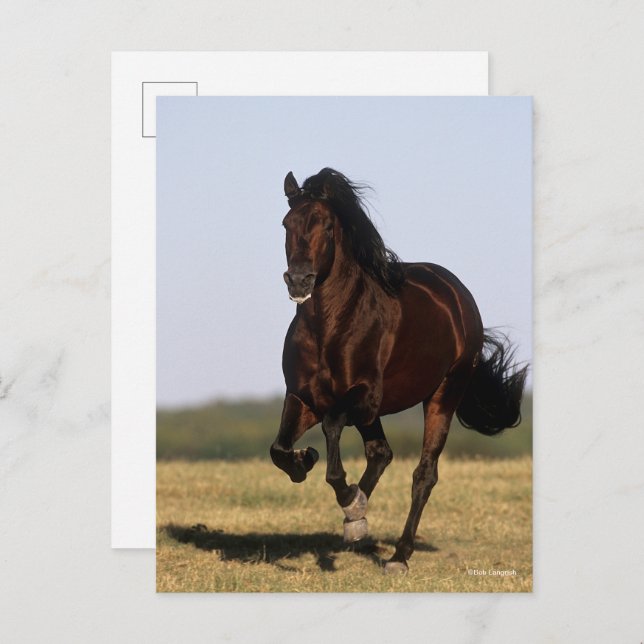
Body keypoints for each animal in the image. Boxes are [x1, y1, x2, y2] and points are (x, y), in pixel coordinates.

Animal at [269, 168, 528, 573]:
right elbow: (279, 449)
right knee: (381, 453)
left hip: (443, 394)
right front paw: (306, 463)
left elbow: (332, 431)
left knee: (423, 474)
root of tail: (458, 295)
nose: (299, 280)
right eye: (286, 223)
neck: (330, 327)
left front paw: (347, 497)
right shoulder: (303, 396)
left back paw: (397, 555)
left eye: (325, 225)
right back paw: (355, 523)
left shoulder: (363, 397)